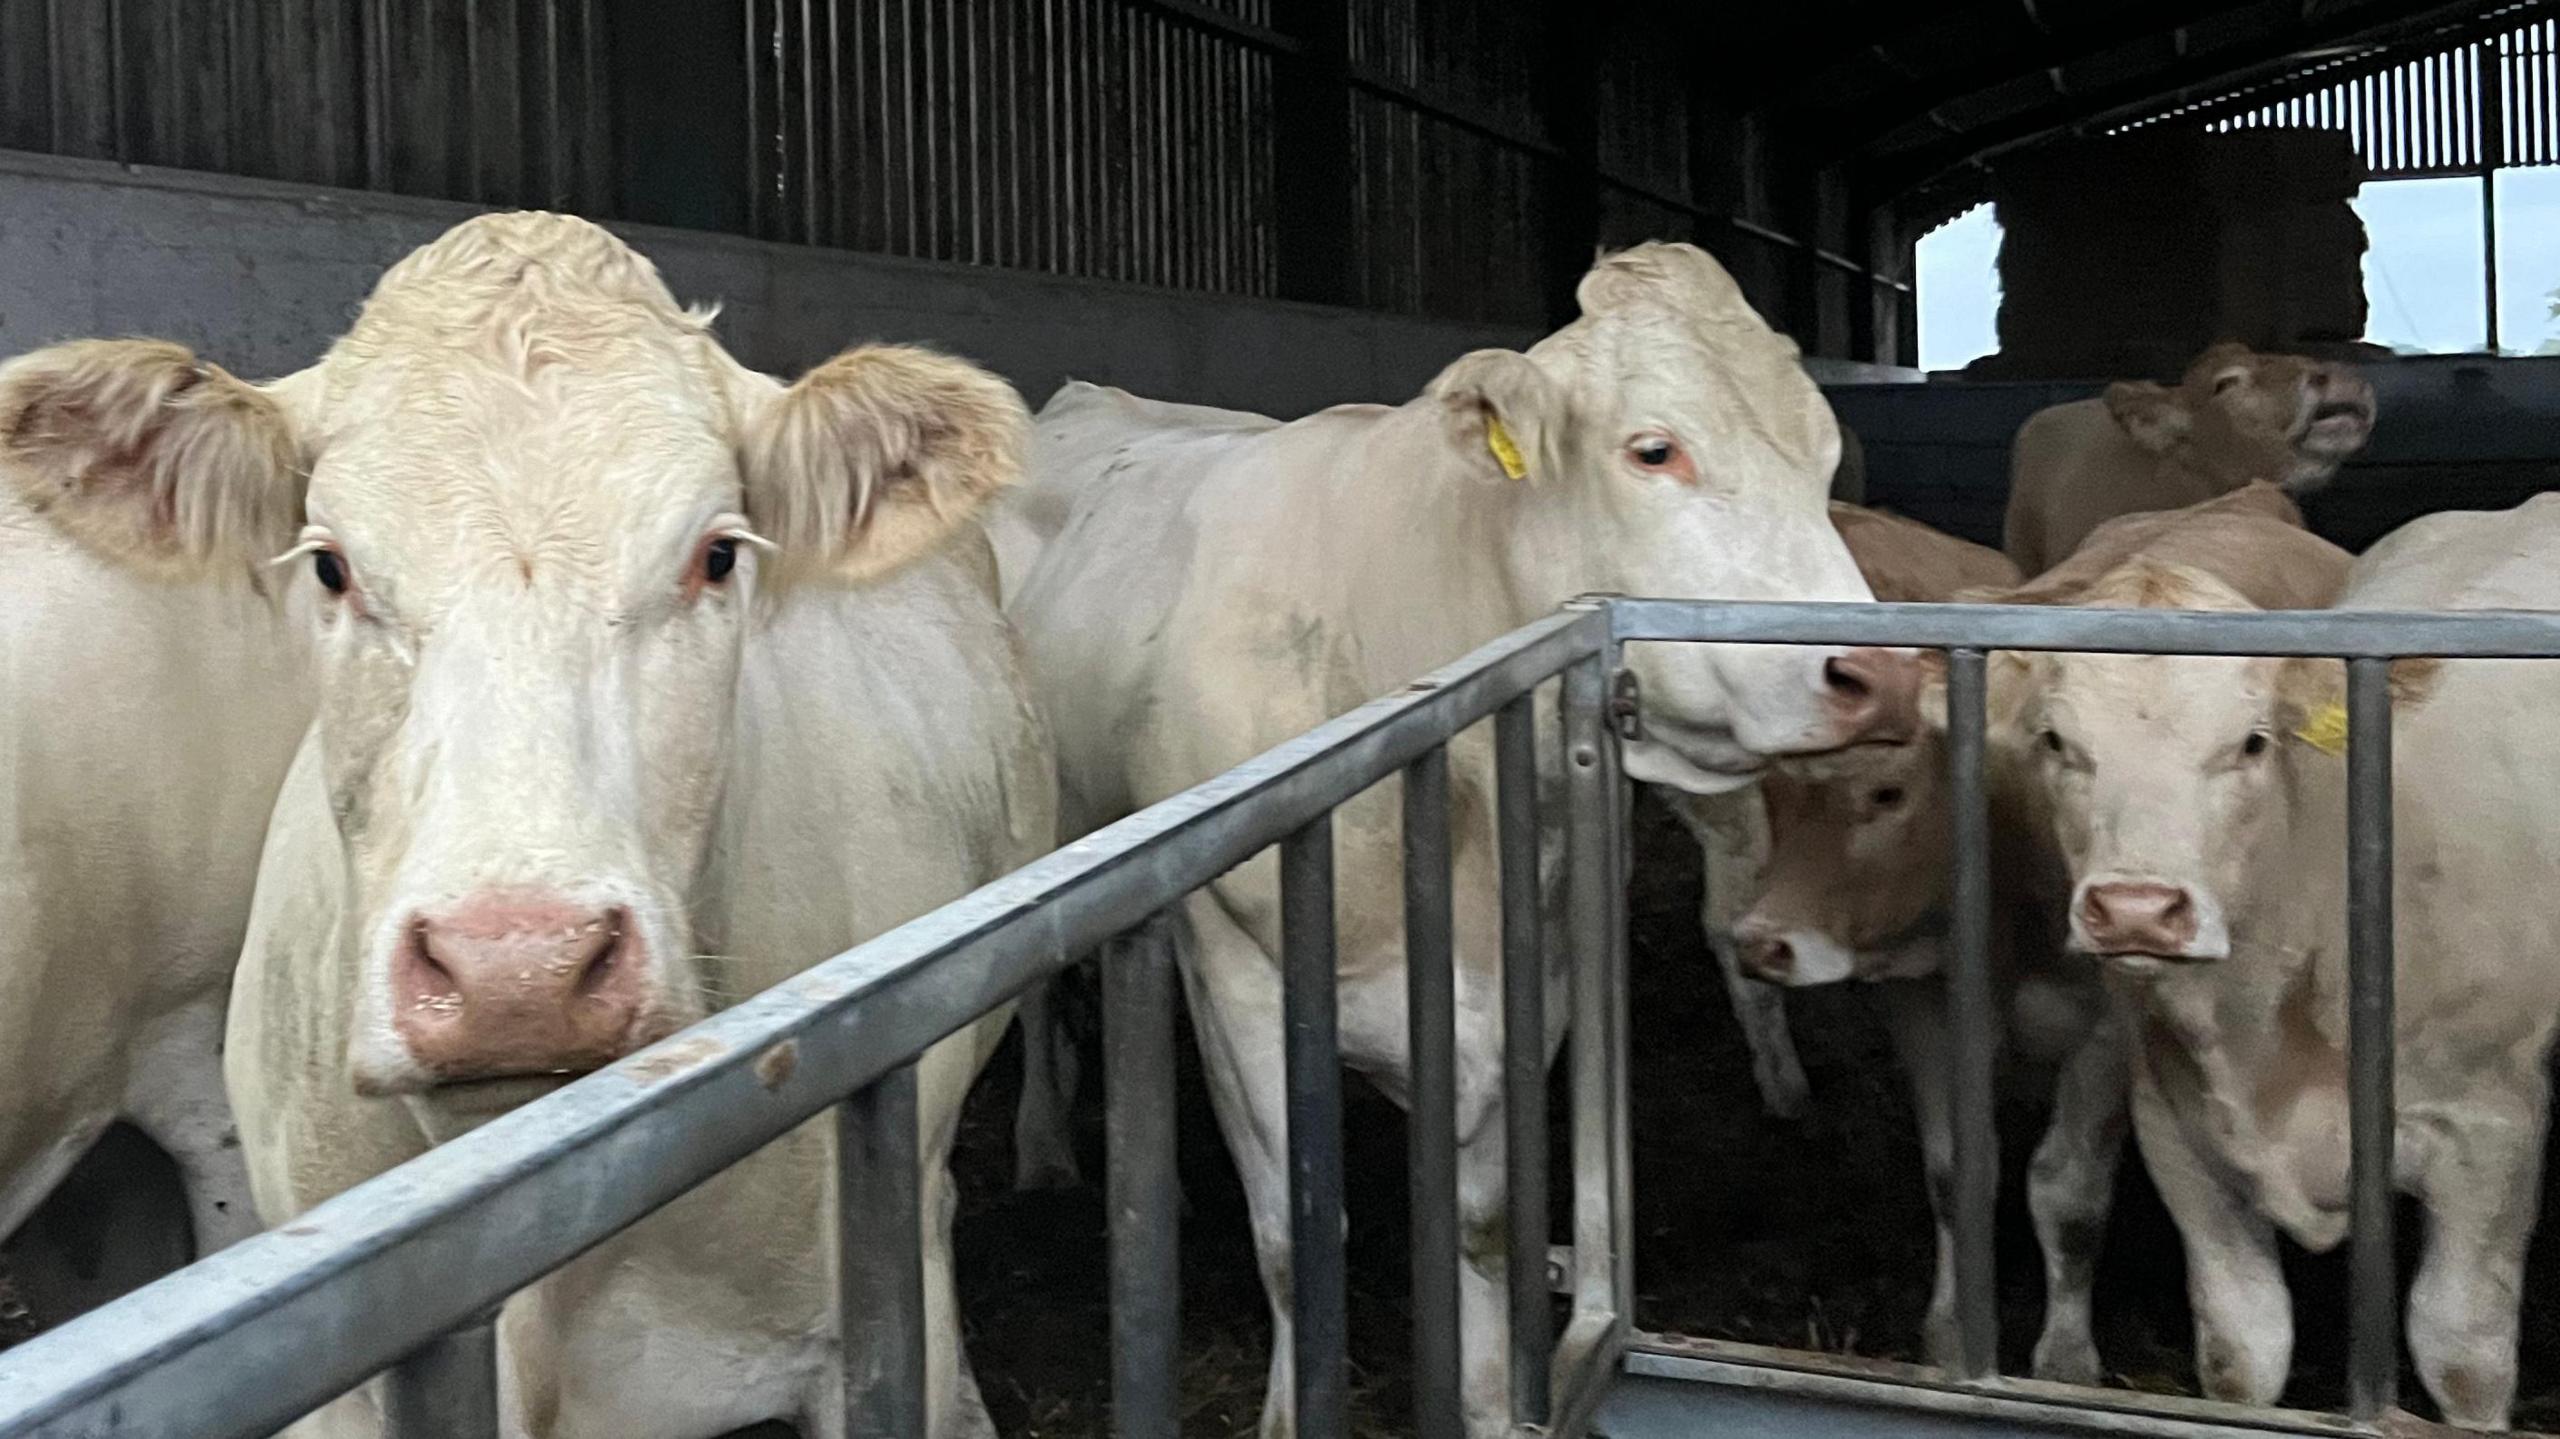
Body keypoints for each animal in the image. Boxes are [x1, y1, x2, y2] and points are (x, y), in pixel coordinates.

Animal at [1008, 240, 1914, 1423]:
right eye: (1654, 449)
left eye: (1823, 452)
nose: (1883, 672)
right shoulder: (1245, 973)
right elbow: (1295, 1235)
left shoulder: (1524, 977)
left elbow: (1482, 1227)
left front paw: (1487, 1399)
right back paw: (1043, 1144)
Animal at [1996, 491, 2560, 1423]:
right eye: (2053, 740)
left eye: (2253, 741)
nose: (2138, 909)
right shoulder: (2180, 1129)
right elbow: (2240, 1349)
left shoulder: (2491, 1130)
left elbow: (2463, 1355)